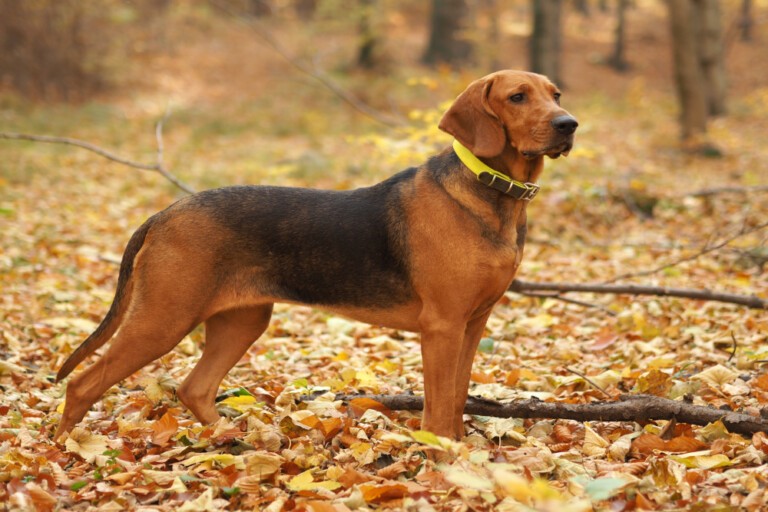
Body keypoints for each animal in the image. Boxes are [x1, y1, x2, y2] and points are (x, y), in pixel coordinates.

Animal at [54, 70, 576, 442]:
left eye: (556, 94)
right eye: (517, 97)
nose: (568, 124)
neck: (493, 196)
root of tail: (165, 212)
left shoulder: (474, 322)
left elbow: (458, 397)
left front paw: (462, 455)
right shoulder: (442, 327)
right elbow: (439, 406)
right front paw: (442, 460)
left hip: (242, 320)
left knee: (193, 388)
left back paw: (233, 440)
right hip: (163, 319)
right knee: (82, 383)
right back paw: (63, 449)